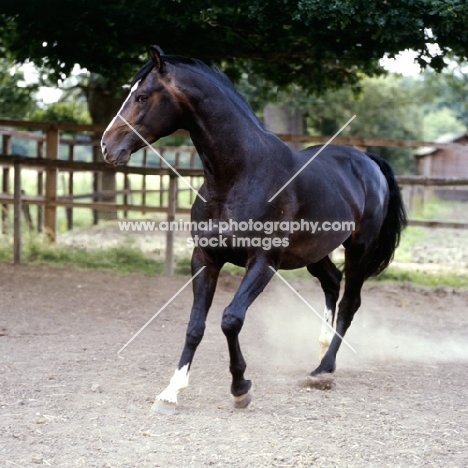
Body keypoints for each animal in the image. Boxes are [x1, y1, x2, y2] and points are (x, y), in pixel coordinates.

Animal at [102, 46, 406, 414]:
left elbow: (230, 319)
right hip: (313, 252)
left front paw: (240, 388)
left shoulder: (263, 262)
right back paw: (320, 349)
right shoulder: (205, 258)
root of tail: (368, 161)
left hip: (358, 249)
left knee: (350, 302)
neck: (239, 175)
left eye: (143, 96)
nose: (106, 146)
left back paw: (323, 370)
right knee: (332, 282)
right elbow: (195, 325)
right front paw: (171, 392)